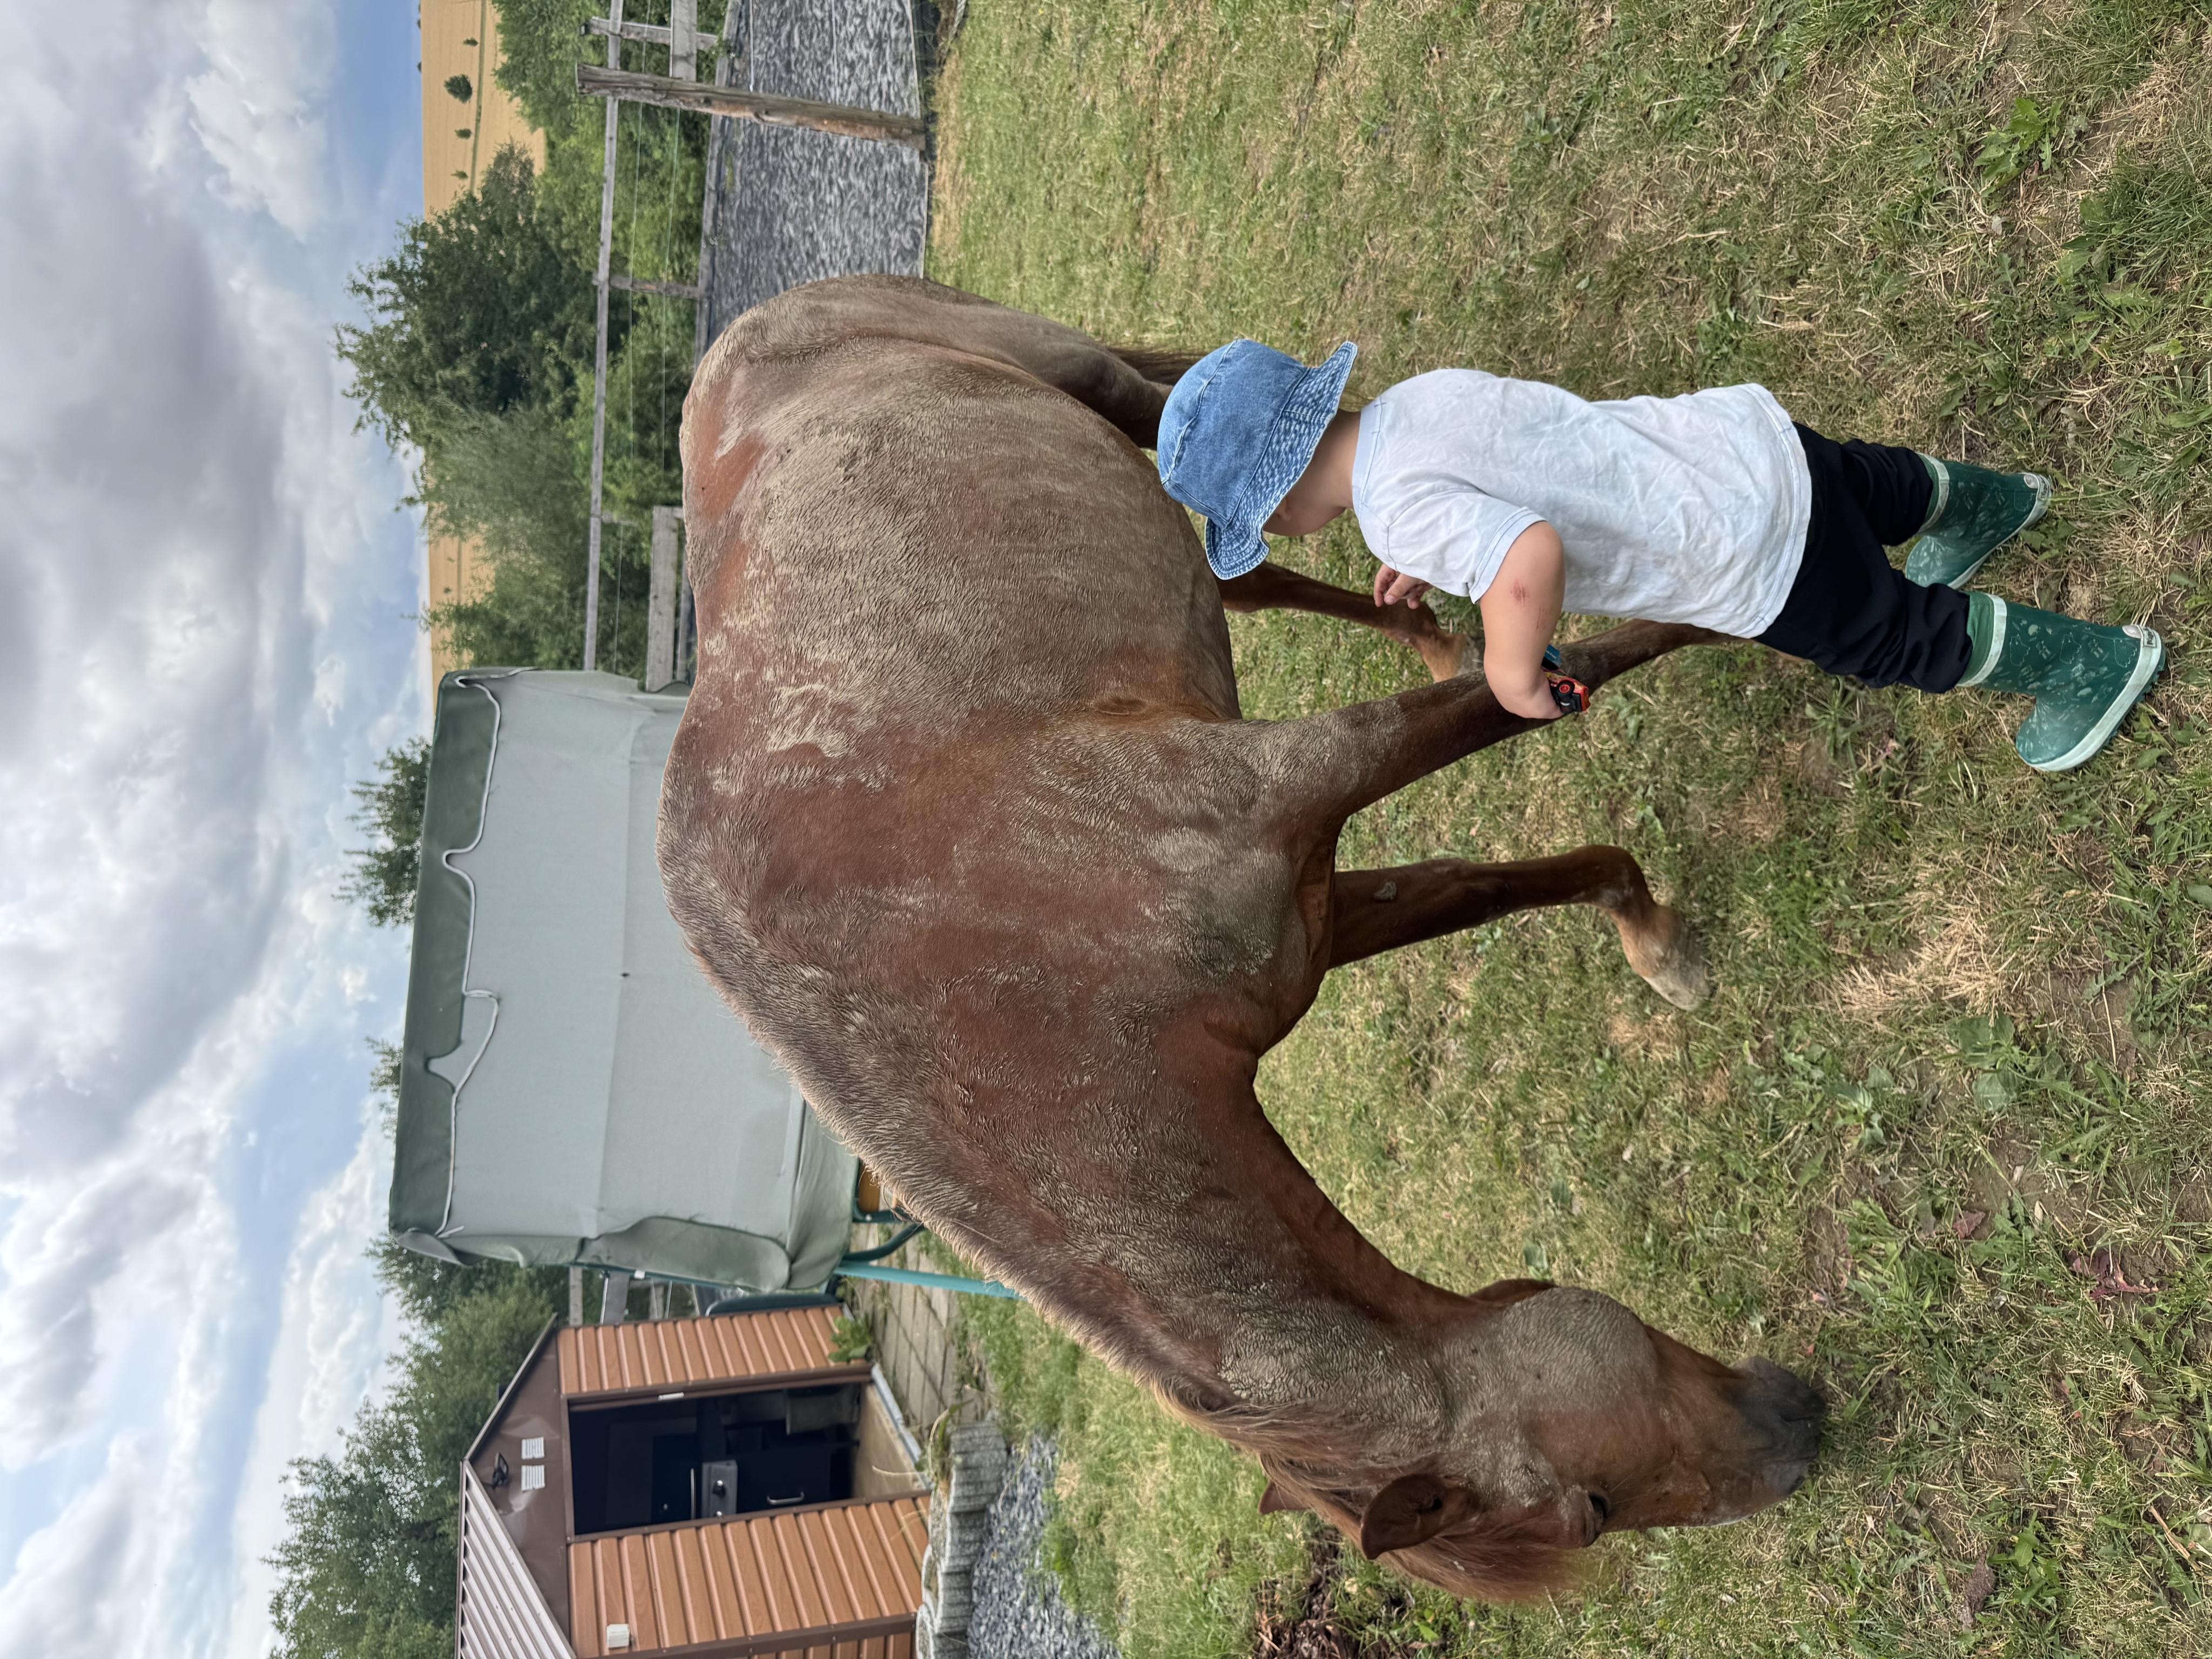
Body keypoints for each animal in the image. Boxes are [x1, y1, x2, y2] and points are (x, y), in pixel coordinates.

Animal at [659, 275, 1822, 1599]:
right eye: (1594, 1509)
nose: (1800, 1434)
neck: (1013, 998)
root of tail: (756, 324)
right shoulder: (1311, 918)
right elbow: (1499, 874)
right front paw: (1654, 939)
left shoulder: (1302, 782)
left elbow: (1543, 696)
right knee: (1260, 572)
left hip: (1102, 390)